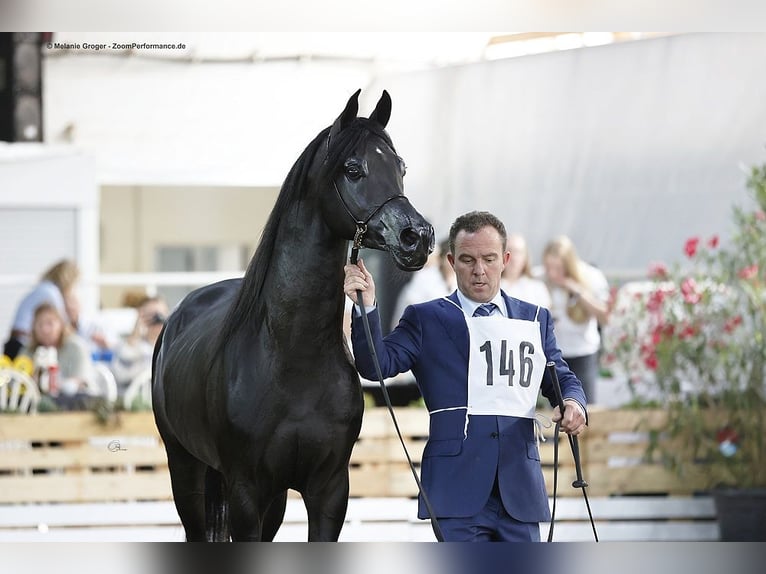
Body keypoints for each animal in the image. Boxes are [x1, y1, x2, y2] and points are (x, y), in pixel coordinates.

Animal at [152, 89, 434, 541]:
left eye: (401, 168)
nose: (417, 237)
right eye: (352, 169)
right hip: (186, 471)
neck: (292, 356)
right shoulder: (246, 493)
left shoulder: (329, 491)